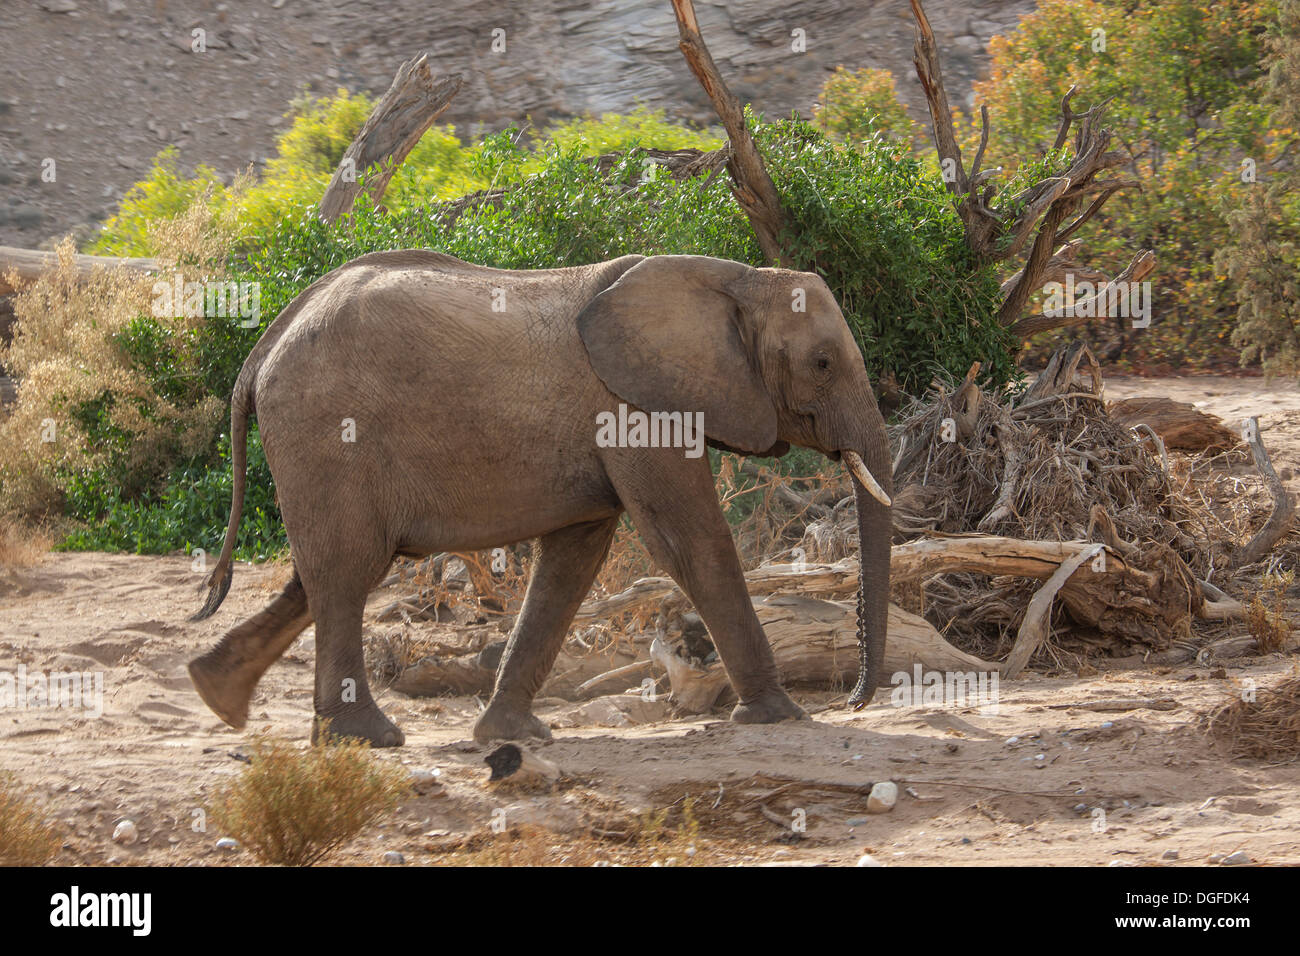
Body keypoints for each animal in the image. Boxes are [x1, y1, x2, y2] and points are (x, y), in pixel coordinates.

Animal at [185, 252, 894, 749]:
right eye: (823, 363)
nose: (854, 701)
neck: (735, 278)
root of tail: (264, 348)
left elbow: (572, 564)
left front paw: (511, 736)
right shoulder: (636, 410)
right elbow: (690, 544)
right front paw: (781, 716)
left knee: (327, 571)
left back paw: (216, 693)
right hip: (327, 432)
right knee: (345, 571)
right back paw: (366, 737)